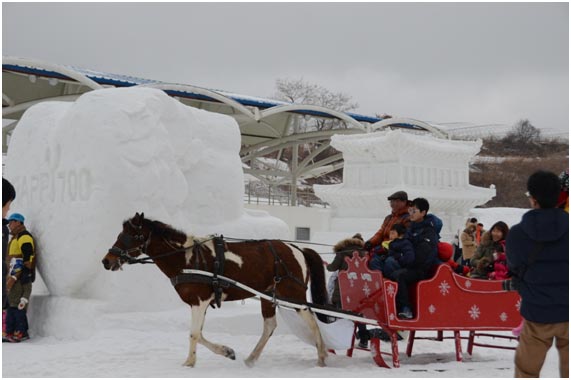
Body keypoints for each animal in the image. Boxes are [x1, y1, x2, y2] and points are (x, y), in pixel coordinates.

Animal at [100, 212, 328, 366]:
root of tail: (297, 249)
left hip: (294, 296)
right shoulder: (202, 303)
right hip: (268, 296)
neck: (188, 258)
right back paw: (251, 358)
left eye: (131, 235)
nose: (106, 261)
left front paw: (189, 362)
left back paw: (322, 355)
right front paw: (226, 351)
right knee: (270, 326)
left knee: (312, 321)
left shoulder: (199, 301)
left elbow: (194, 334)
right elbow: (199, 334)